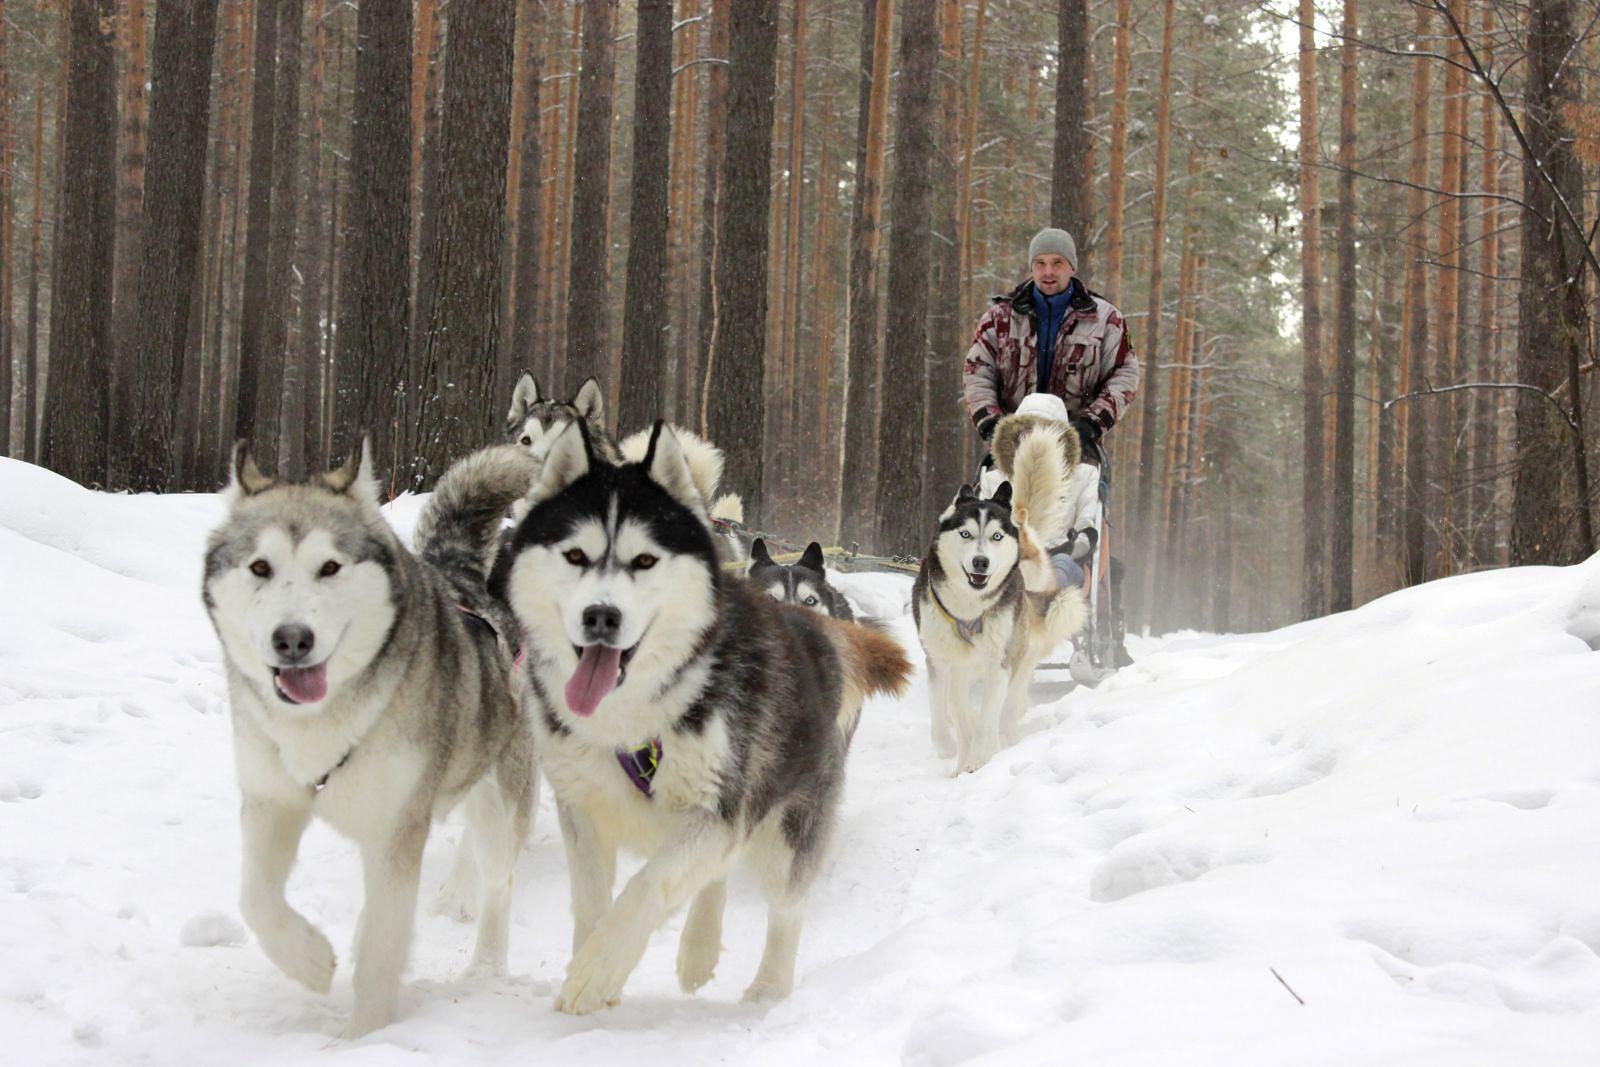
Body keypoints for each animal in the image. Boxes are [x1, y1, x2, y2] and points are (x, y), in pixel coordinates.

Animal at [203, 441, 540, 1036]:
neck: (326, 718)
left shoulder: (396, 827)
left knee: (497, 884)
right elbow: (256, 900)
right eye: (261, 567)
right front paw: (311, 962)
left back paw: (485, 968)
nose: (293, 639)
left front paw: (367, 1034)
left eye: (330, 567)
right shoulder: (270, 801)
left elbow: (387, 942)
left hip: (498, 805)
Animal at [492, 422, 908, 1017]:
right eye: (574, 555)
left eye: (645, 561)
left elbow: (648, 886)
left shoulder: (720, 805)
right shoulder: (584, 808)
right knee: (715, 878)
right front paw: (593, 966)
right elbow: (593, 904)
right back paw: (699, 951)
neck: (636, 710)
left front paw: (597, 971)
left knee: (785, 905)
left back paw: (768, 986)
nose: (601, 616)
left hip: (787, 819)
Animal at [915, 422, 1088, 777]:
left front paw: (981, 756)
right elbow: (945, 712)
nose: (981, 562)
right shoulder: (940, 660)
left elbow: (987, 717)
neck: (969, 607)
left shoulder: (1000, 661)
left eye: (996, 536)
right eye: (965, 533)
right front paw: (952, 748)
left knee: (1009, 706)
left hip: (1022, 651)